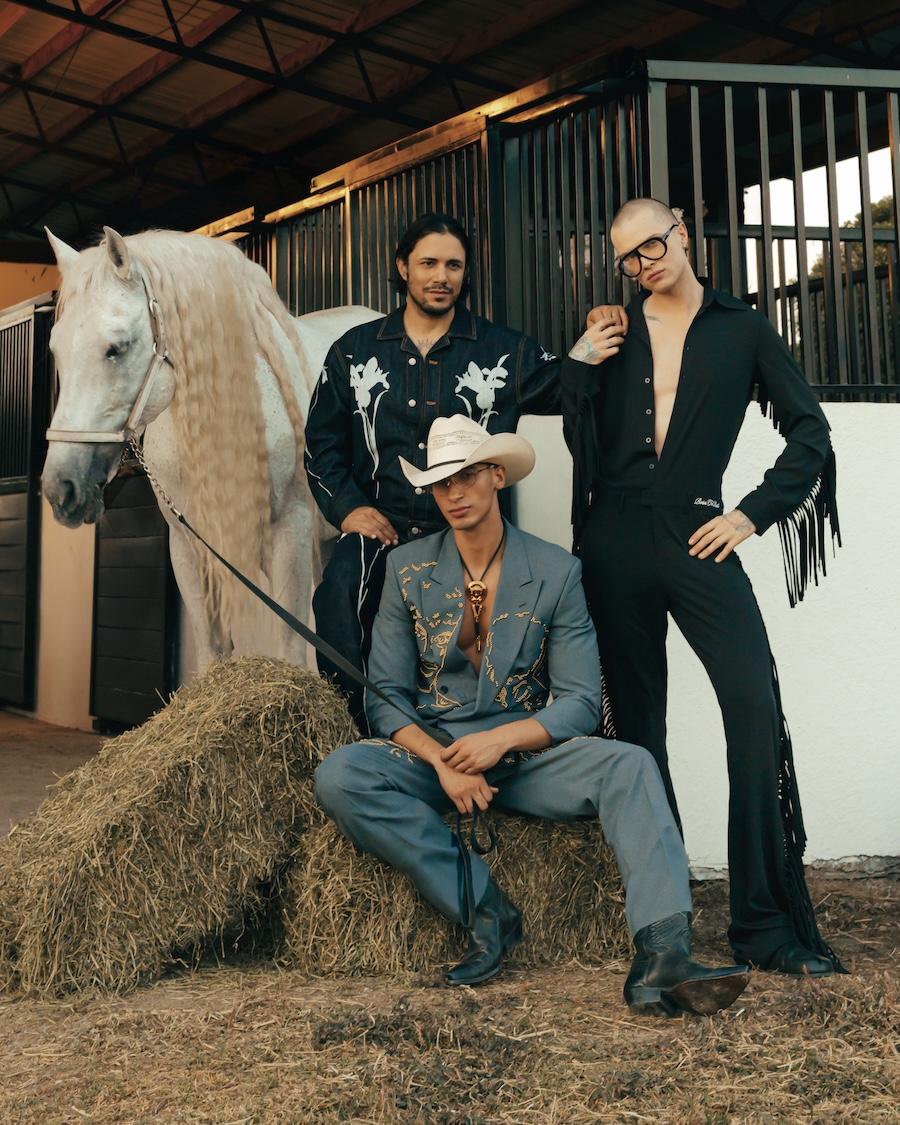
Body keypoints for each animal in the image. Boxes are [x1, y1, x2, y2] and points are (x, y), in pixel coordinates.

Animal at [42, 226, 382, 668]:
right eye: (56, 350)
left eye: (117, 347)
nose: (60, 488)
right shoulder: (189, 545)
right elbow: (211, 651)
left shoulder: (289, 530)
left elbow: (291, 648)